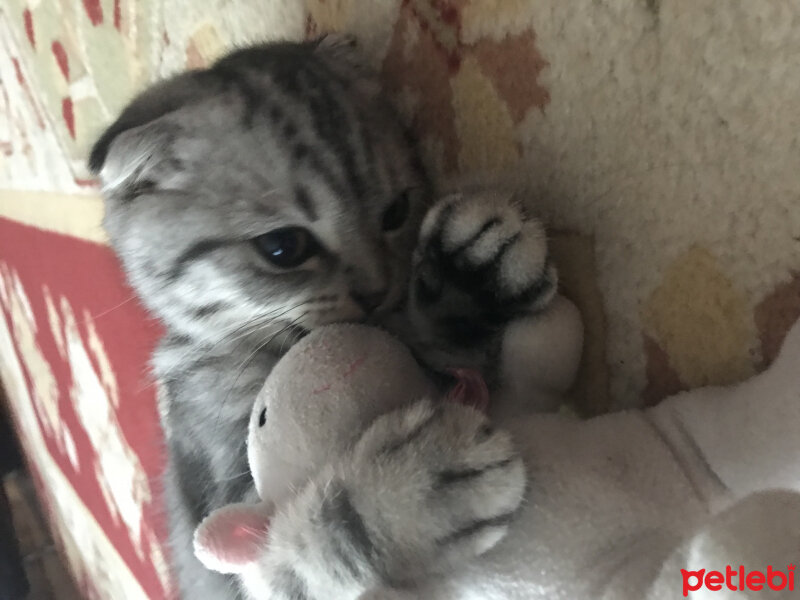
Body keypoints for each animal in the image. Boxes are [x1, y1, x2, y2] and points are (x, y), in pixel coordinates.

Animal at [92, 37, 556, 600]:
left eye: (396, 212)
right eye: (282, 248)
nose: (377, 290)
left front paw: (465, 272)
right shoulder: (231, 516)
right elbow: (312, 539)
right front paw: (414, 493)